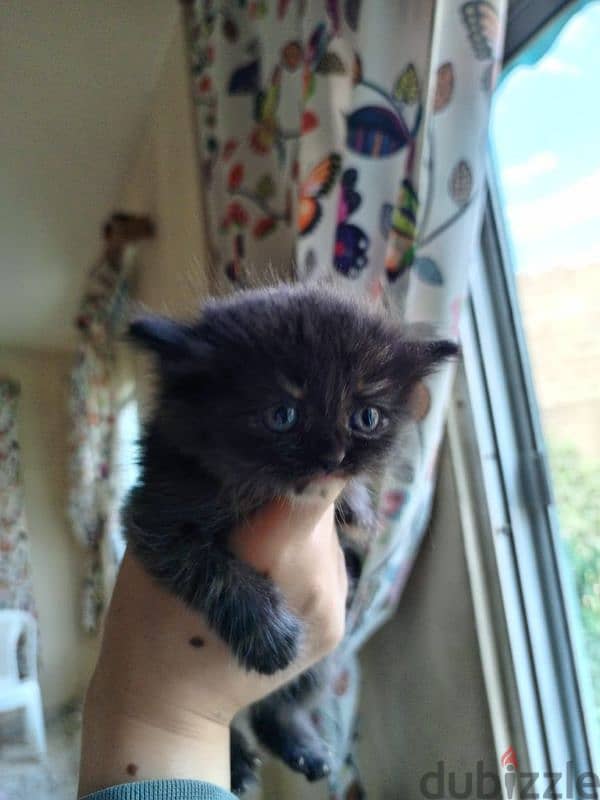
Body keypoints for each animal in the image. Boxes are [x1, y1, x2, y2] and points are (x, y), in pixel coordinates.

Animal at [124, 284, 458, 792]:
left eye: (367, 417)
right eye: (283, 415)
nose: (332, 458)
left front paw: (357, 505)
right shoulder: (152, 514)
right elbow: (212, 568)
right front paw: (267, 632)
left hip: (324, 661)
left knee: (277, 707)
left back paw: (300, 745)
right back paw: (239, 761)